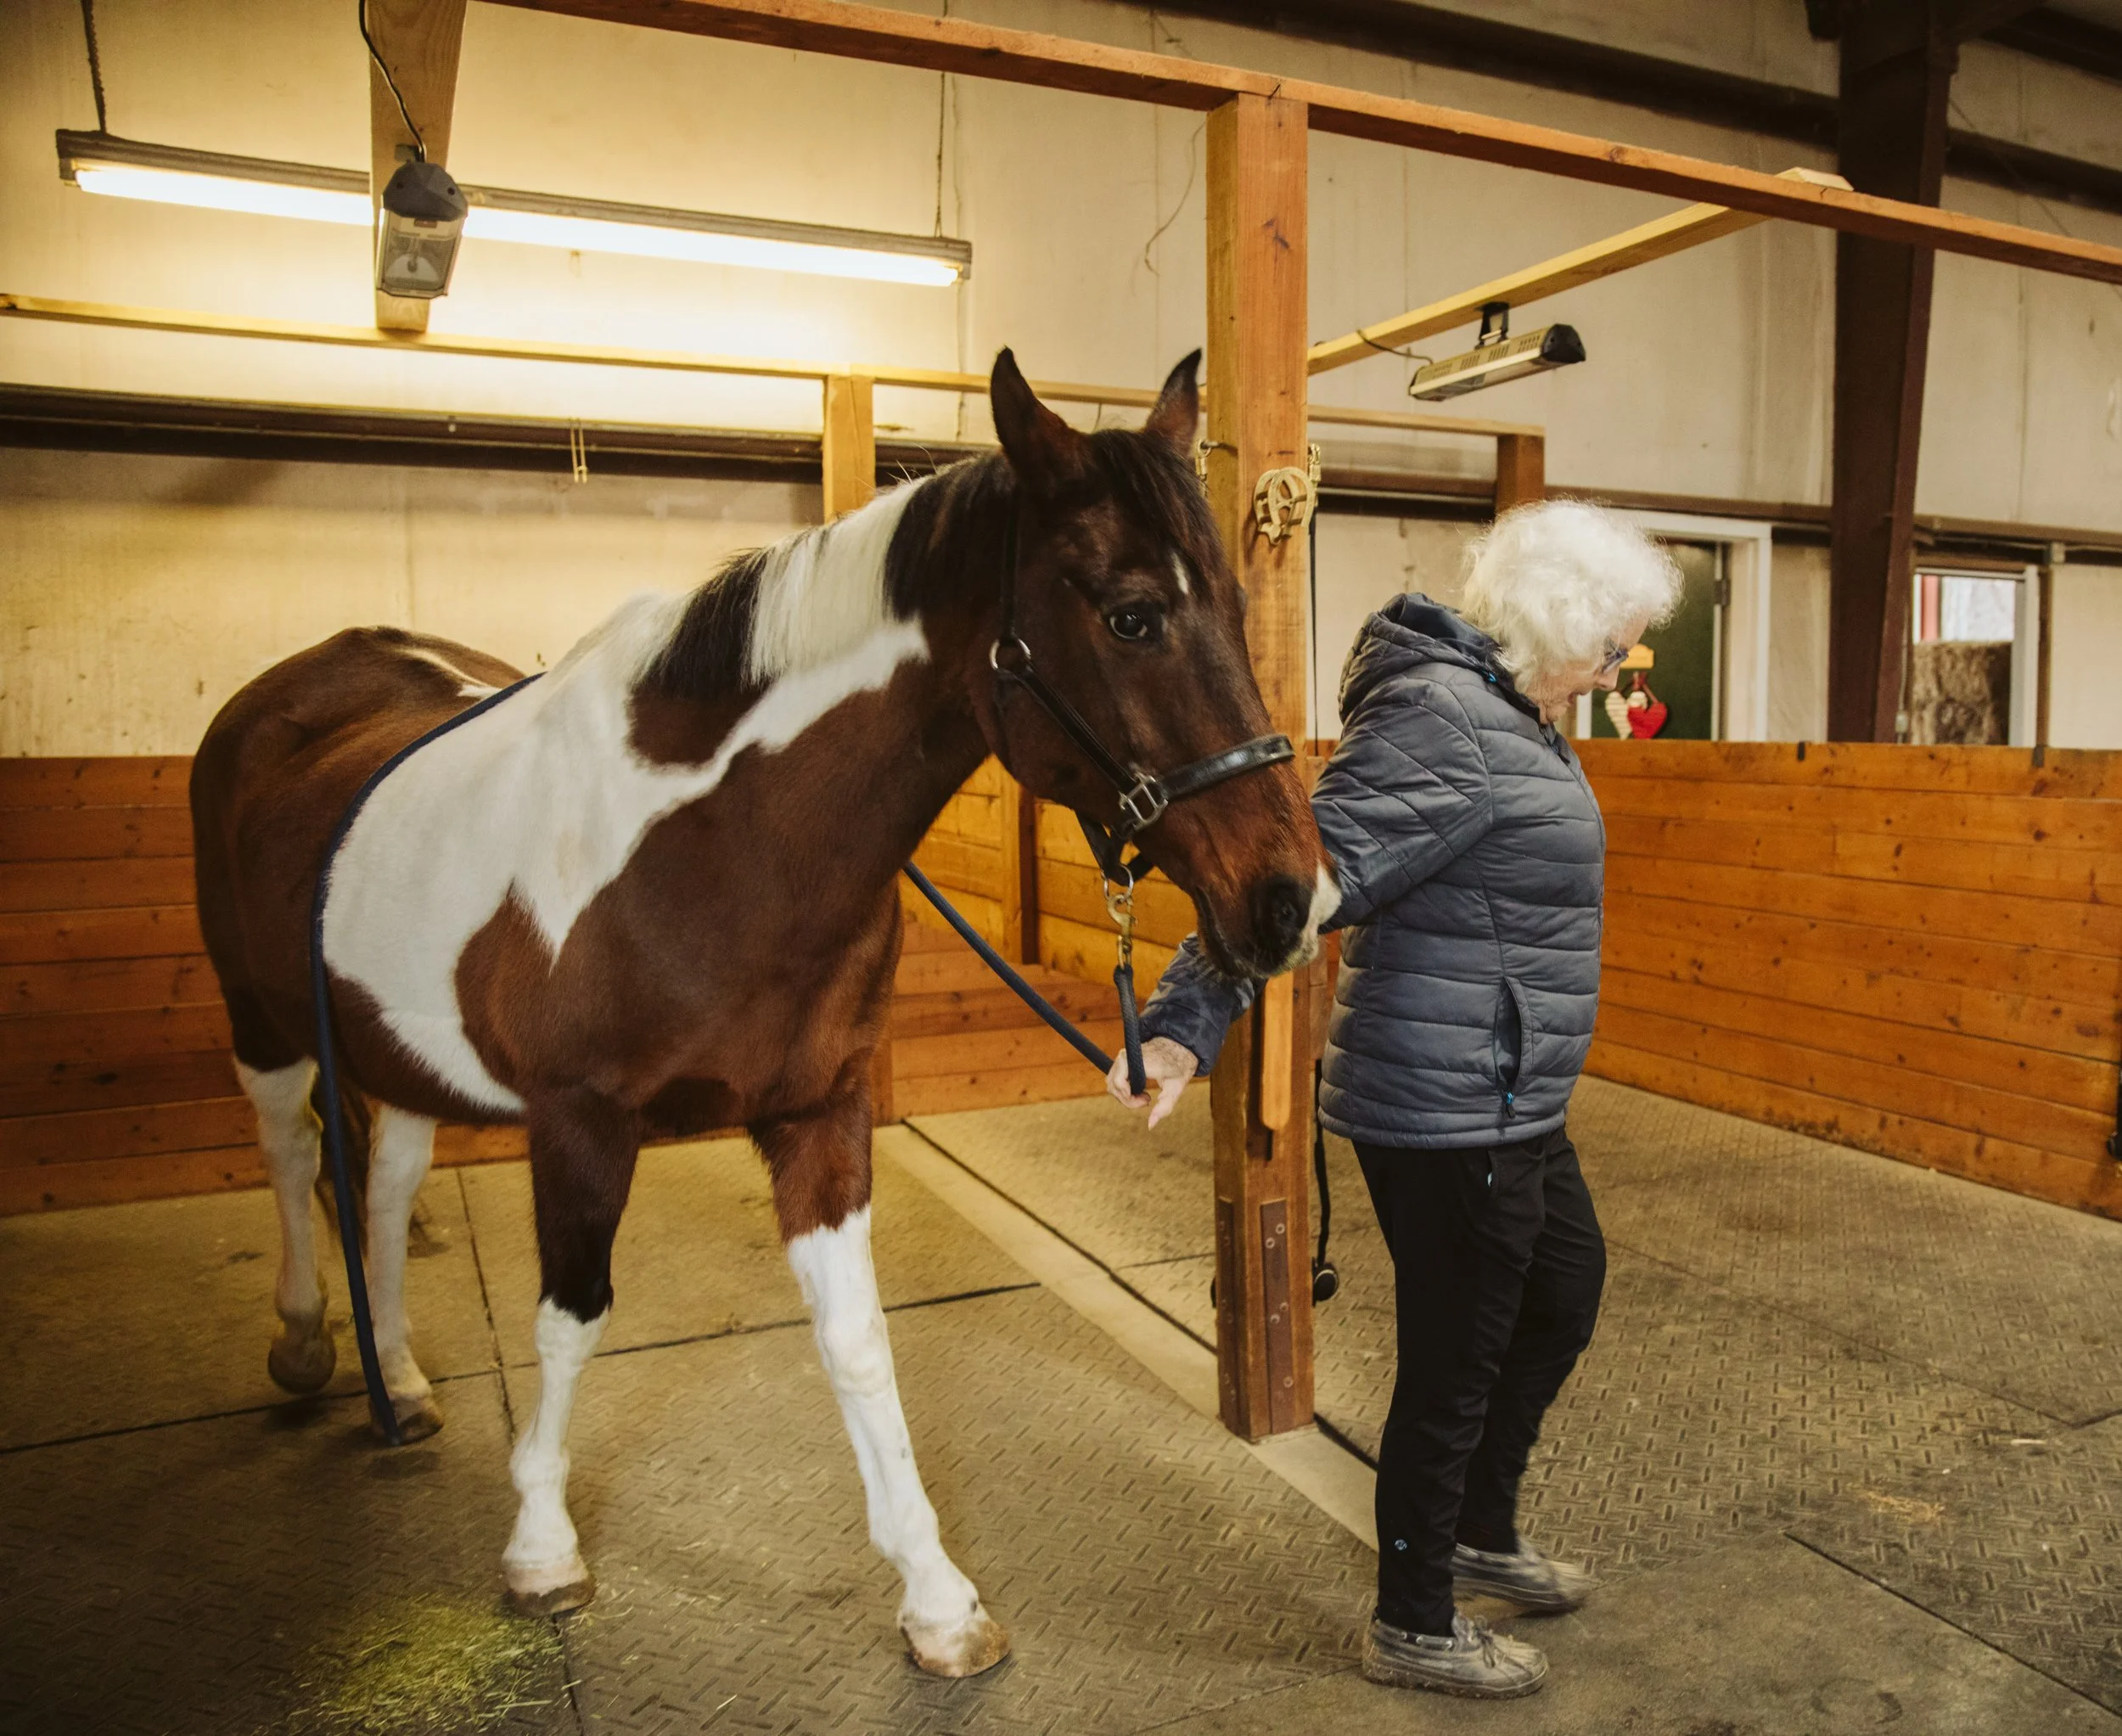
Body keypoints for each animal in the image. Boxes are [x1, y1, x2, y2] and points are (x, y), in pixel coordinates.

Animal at [189, 348, 1337, 1676]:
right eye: (1131, 614)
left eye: (1238, 608)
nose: (1295, 900)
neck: (713, 844)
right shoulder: (580, 1123)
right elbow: (570, 1319)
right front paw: (542, 1547)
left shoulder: (817, 1114)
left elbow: (858, 1341)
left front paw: (936, 1598)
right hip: (262, 1019)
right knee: (289, 1153)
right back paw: (307, 1338)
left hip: (401, 1046)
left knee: (379, 1188)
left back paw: (403, 1378)